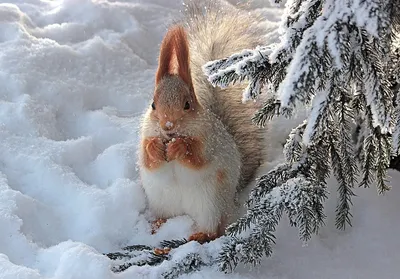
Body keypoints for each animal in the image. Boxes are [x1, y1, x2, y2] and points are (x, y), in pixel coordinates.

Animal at [138, 1, 266, 244]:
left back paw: (199, 234)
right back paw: (157, 226)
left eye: (188, 104)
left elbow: (197, 158)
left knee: (213, 230)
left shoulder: (209, 140)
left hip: (210, 205)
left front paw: (180, 148)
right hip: (162, 202)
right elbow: (148, 159)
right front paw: (155, 148)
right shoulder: (145, 134)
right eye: (153, 105)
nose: (168, 126)